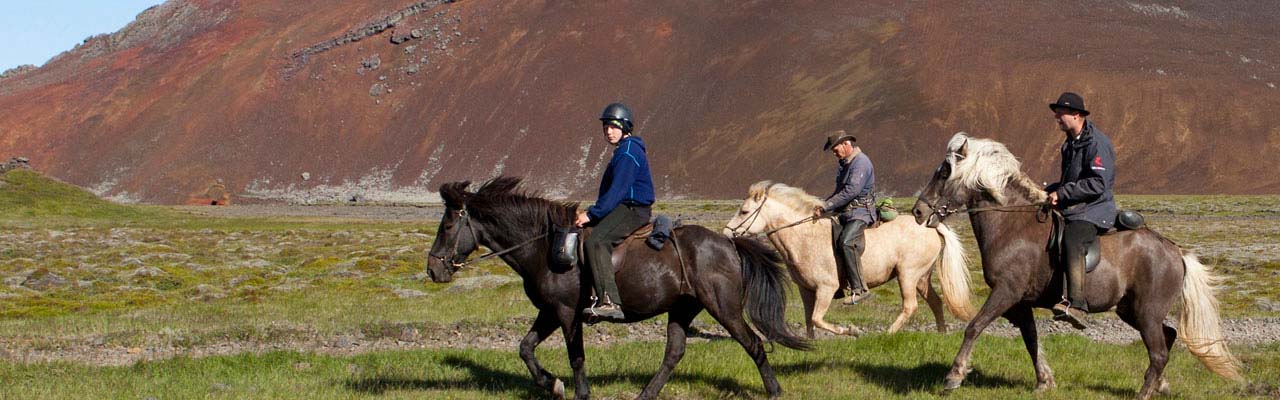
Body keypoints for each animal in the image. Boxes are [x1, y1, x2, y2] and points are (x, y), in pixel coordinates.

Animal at [430, 178, 808, 400]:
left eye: (447, 224)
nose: (433, 268)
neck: (544, 245)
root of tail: (728, 244)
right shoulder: (549, 311)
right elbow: (525, 348)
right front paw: (553, 384)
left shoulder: (567, 312)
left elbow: (576, 356)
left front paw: (580, 392)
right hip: (683, 308)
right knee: (674, 352)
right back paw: (645, 395)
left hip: (724, 307)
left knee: (754, 344)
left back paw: (774, 391)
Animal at [727, 182, 972, 338]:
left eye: (744, 211)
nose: (727, 233)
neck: (804, 236)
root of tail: (931, 226)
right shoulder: (806, 290)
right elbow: (808, 320)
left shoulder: (826, 288)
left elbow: (817, 318)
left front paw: (851, 331)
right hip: (921, 278)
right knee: (936, 302)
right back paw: (941, 334)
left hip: (907, 275)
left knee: (910, 306)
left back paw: (888, 334)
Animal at [911, 132, 1239, 397]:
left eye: (944, 172)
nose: (918, 211)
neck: (1012, 226)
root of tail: (1175, 251)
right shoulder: (1020, 302)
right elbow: (1030, 338)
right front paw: (1044, 381)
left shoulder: (1006, 292)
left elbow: (974, 326)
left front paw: (954, 376)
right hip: (1131, 310)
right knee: (1168, 337)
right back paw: (1161, 385)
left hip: (1146, 312)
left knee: (1158, 351)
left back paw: (1145, 392)